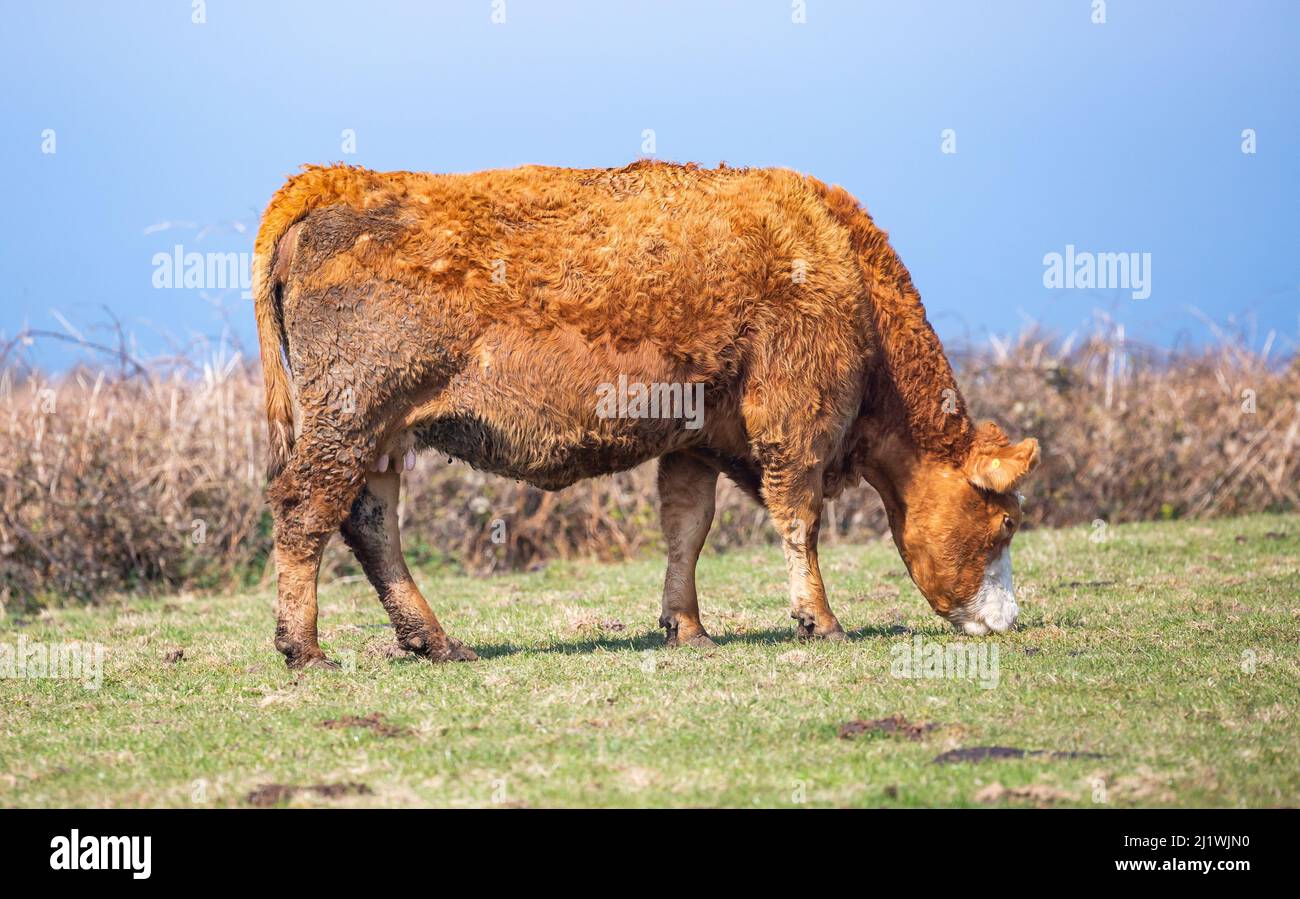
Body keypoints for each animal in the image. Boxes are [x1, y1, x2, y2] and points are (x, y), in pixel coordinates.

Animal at [256, 159, 1034, 665]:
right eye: (1006, 523)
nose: (1009, 619)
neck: (841, 260)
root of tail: (337, 178)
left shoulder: (695, 438)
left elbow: (687, 529)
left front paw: (686, 627)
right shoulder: (797, 418)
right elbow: (799, 518)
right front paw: (820, 619)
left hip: (382, 435)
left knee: (370, 521)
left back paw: (435, 641)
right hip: (351, 417)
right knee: (304, 510)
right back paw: (305, 648)